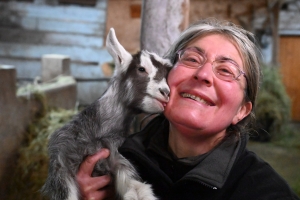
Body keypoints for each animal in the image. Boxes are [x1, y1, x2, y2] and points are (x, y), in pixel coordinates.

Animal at [41, 28, 171, 200]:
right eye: (141, 69)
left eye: (166, 74)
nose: (166, 92)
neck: (97, 134)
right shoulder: (61, 164)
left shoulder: (118, 159)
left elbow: (138, 190)